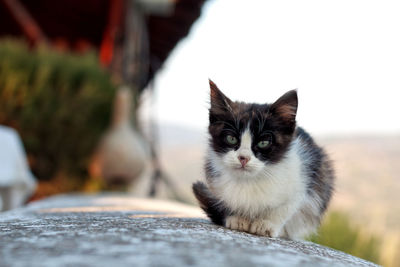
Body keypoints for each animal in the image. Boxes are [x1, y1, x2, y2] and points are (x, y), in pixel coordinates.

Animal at [193, 80, 334, 241]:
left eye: (263, 142)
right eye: (231, 138)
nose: (243, 158)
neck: (250, 181)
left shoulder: (303, 178)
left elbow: (286, 207)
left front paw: (266, 224)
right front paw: (237, 218)